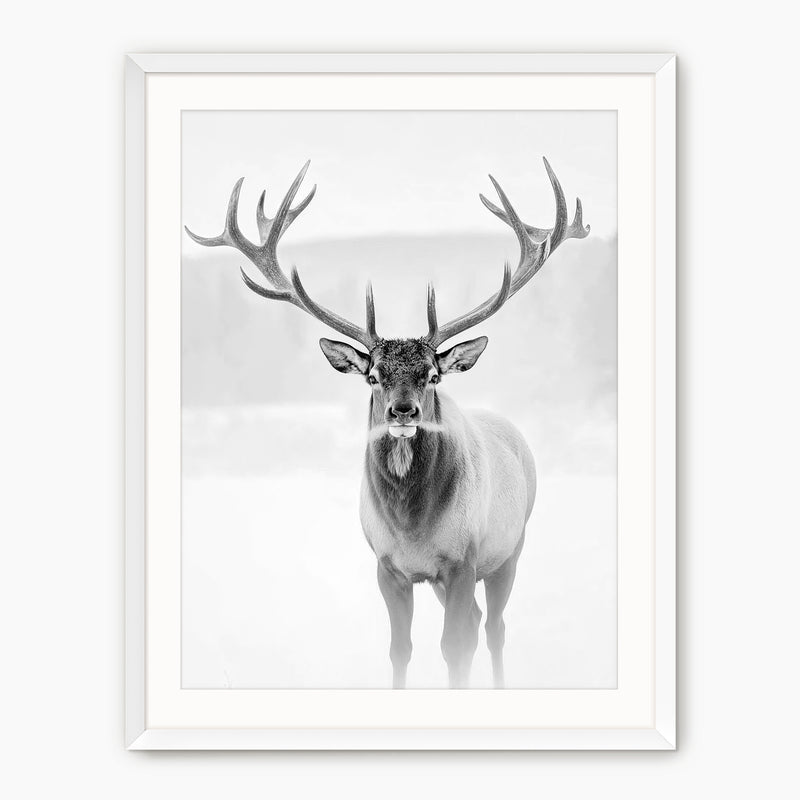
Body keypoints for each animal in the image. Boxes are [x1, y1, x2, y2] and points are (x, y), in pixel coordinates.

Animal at [185, 158, 589, 688]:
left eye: (432, 375)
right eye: (373, 375)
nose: (403, 411)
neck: (412, 527)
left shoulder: (462, 559)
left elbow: (454, 648)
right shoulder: (386, 566)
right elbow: (401, 650)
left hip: (510, 547)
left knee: (494, 628)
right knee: (480, 621)